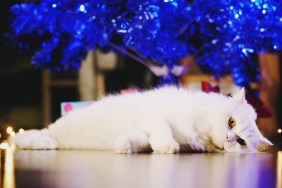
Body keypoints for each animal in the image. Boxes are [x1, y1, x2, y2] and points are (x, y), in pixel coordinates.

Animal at [13, 86, 274, 153]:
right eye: (231, 122)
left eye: (241, 142)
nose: (230, 138)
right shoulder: (157, 113)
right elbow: (162, 132)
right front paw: (167, 146)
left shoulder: (145, 130)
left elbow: (139, 141)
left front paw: (123, 146)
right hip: (55, 130)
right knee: (24, 137)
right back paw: (43, 143)